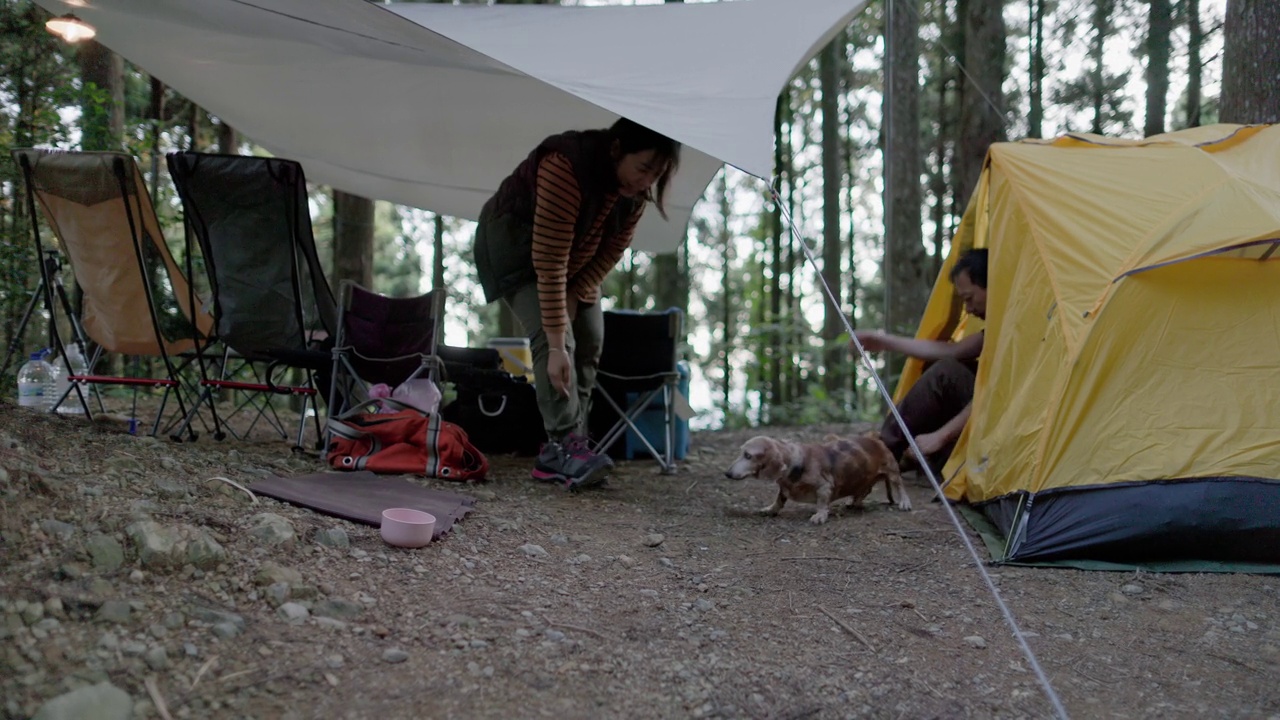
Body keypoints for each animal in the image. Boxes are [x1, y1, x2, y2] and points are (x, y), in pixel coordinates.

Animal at [721, 427, 911, 525]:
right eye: (741, 452)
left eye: (748, 455)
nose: (727, 473)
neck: (795, 462)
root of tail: (876, 438)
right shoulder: (784, 487)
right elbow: (779, 499)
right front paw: (770, 509)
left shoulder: (824, 486)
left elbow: (821, 502)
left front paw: (820, 516)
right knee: (864, 491)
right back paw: (853, 501)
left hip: (893, 472)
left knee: (900, 486)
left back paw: (904, 503)